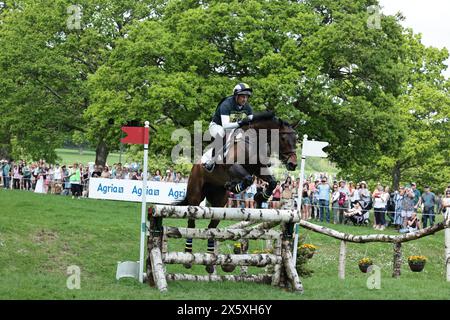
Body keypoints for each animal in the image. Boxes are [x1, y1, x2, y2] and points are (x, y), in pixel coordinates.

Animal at [176, 112, 298, 272]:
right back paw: (188, 257)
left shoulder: (259, 169)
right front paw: (236, 187)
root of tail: (194, 167)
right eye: (283, 138)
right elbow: (248, 179)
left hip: (219, 203)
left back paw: (209, 262)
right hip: (195, 196)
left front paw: (260, 198)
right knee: (191, 224)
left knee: (211, 227)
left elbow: (272, 182)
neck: (253, 142)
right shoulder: (234, 167)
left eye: (296, 139)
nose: (293, 164)